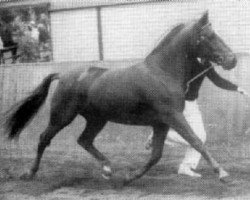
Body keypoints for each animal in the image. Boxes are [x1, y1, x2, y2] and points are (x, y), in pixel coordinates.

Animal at [2, 11, 236, 185]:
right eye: (209, 36)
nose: (232, 59)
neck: (162, 73)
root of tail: (64, 75)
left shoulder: (161, 123)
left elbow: (156, 155)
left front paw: (129, 177)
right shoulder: (173, 117)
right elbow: (195, 141)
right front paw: (222, 173)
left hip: (97, 119)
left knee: (84, 140)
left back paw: (107, 169)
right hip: (62, 116)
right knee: (44, 138)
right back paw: (30, 173)